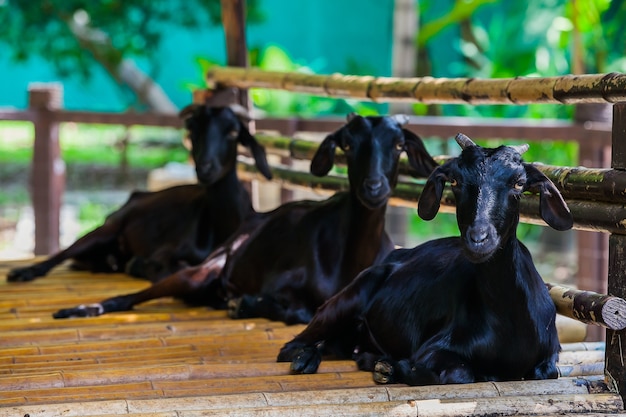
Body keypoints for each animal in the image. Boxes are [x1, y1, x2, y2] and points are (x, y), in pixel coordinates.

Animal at [6, 105, 270, 284]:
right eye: (192, 130)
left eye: (233, 132)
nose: (205, 168)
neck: (223, 224)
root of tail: (135, 196)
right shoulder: (166, 252)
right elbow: (169, 268)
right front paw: (139, 265)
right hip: (108, 227)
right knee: (65, 252)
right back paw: (23, 272)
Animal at [52, 114, 438, 322]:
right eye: (347, 146)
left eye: (399, 146)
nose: (374, 187)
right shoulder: (281, 282)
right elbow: (298, 310)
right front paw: (247, 303)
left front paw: (244, 304)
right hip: (200, 271)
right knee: (136, 294)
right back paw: (82, 308)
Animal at [276, 135, 572, 386]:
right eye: (455, 181)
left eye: (519, 183)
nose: (478, 238)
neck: (508, 320)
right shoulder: (433, 348)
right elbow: (459, 373)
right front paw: (398, 368)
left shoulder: (549, 358)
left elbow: (546, 372)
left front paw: (388, 367)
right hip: (345, 299)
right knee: (292, 346)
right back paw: (307, 360)